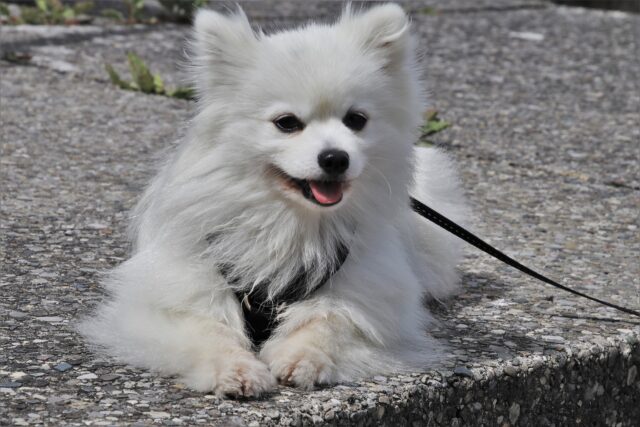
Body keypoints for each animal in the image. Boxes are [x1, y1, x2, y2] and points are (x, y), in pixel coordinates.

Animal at [82, 3, 468, 398]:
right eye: (286, 123)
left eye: (356, 120)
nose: (335, 158)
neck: (288, 221)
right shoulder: (169, 297)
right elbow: (208, 330)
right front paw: (235, 369)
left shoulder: (366, 293)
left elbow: (327, 322)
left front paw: (302, 358)